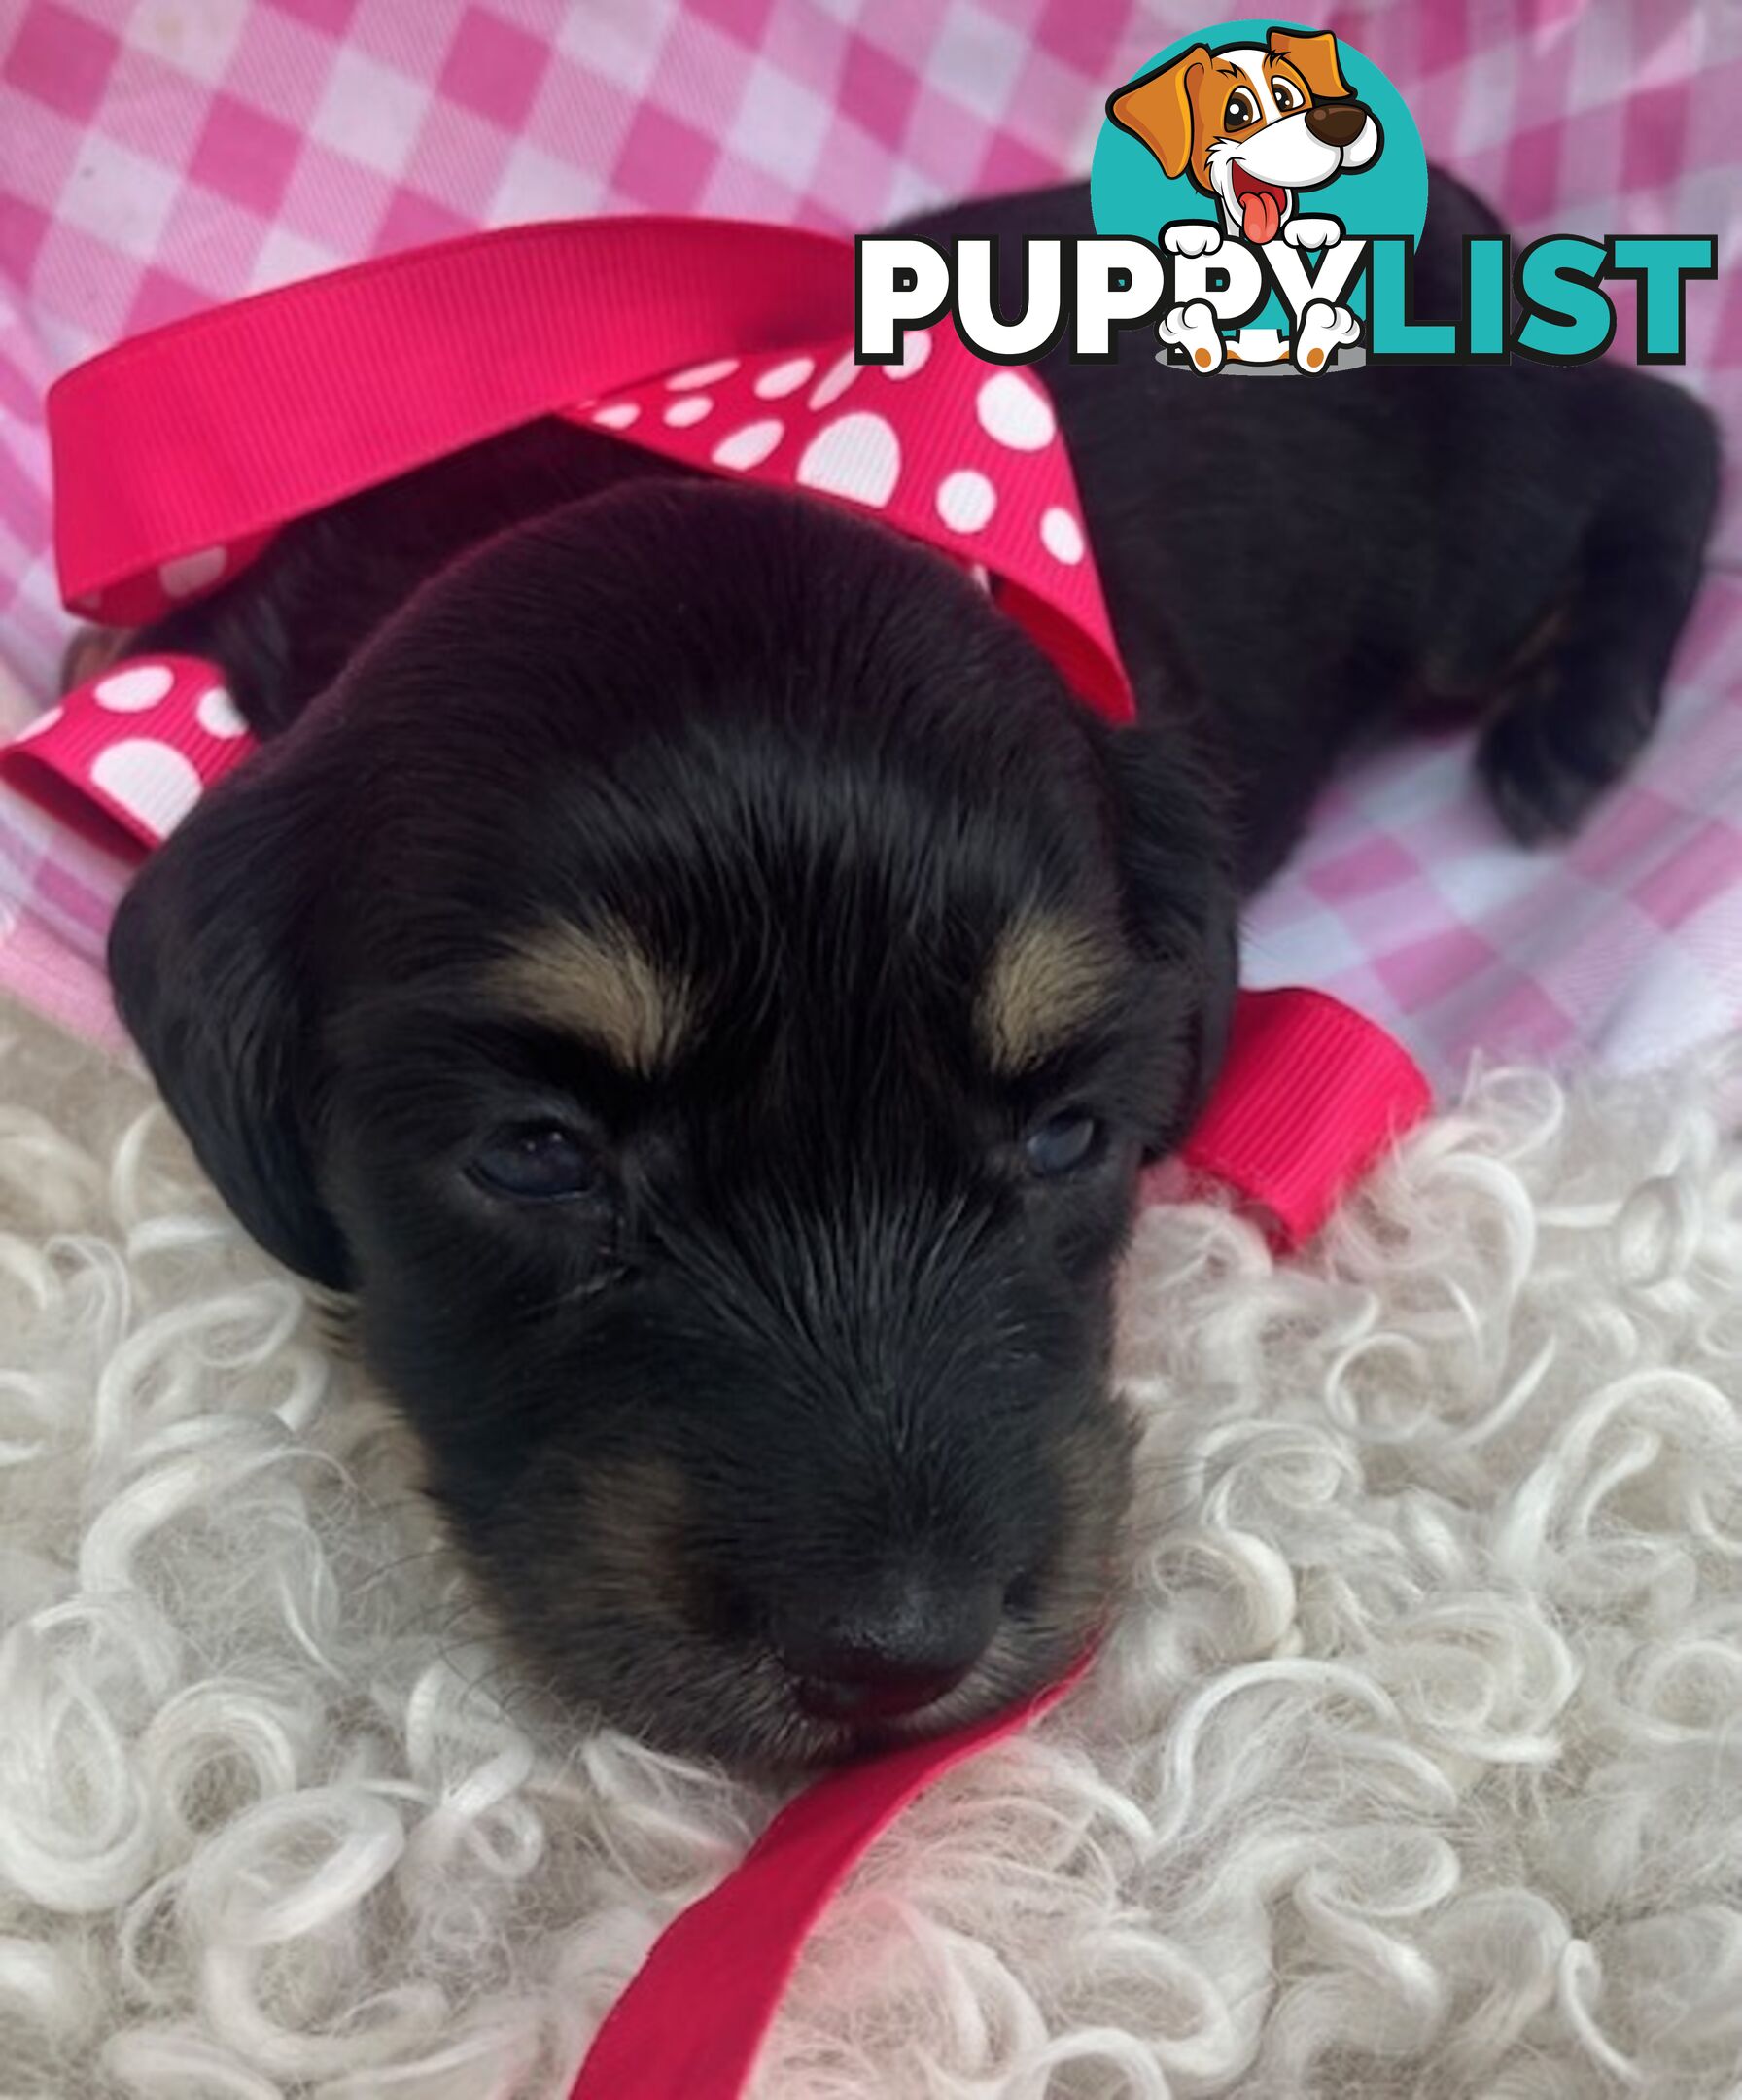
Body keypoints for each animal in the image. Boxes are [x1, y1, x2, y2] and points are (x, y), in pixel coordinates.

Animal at [98, 176, 1721, 1772]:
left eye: (1067, 1137)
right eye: (538, 1154)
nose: (895, 1655)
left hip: (1472, 545)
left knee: (1662, 442)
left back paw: (1575, 726)